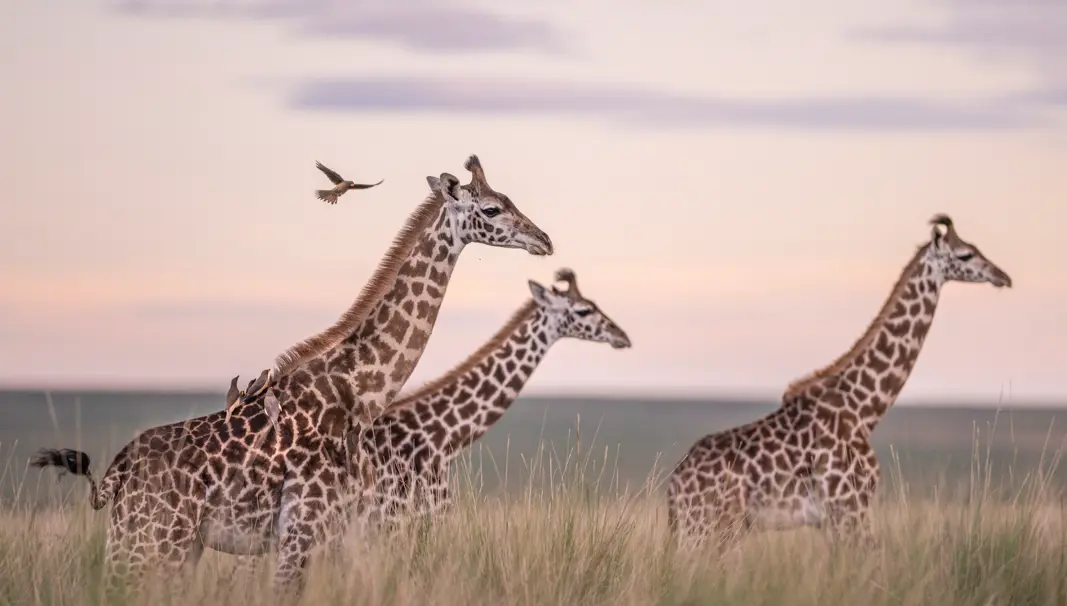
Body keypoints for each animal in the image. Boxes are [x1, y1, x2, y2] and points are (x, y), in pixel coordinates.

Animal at [31, 155, 554, 599]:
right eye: (492, 207)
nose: (544, 240)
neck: (358, 390)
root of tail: (114, 475)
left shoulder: (328, 534)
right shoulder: (302, 531)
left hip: (157, 544)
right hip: (154, 540)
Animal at [666, 214, 1012, 551]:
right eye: (965, 254)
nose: (1003, 276)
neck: (865, 409)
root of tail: (672, 484)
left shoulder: (836, 518)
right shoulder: (849, 509)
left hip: (719, 530)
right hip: (703, 528)